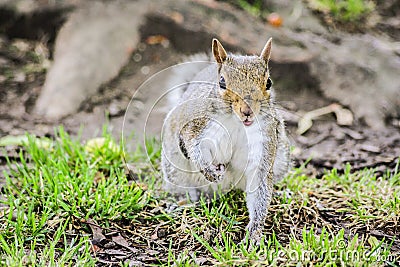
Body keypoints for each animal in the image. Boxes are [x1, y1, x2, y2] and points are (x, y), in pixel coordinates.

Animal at [160, 37, 290, 245]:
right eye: (222, 82)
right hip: (174, 165)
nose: (247, 111)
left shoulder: (265, 143)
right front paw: (209, 171)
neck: (238, 123)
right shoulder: (195, 126)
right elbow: (192, 147)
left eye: (268, 83)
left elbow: (260, 189)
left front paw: (254, 233)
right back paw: (182, 202)